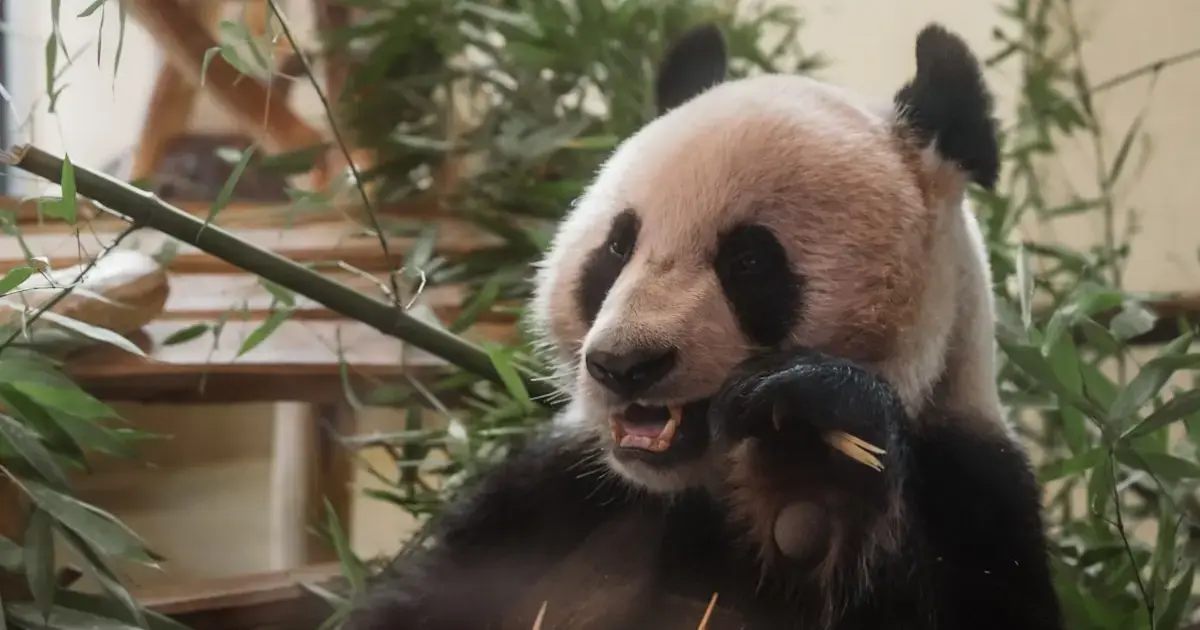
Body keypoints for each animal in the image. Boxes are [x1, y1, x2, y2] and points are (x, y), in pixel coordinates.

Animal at [343, 22, 1064, 630]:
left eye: (748, 261)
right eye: (617, 247)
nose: (623, 365)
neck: (700, 492)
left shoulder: (974, 493)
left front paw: (815, 480)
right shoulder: (551, 496)